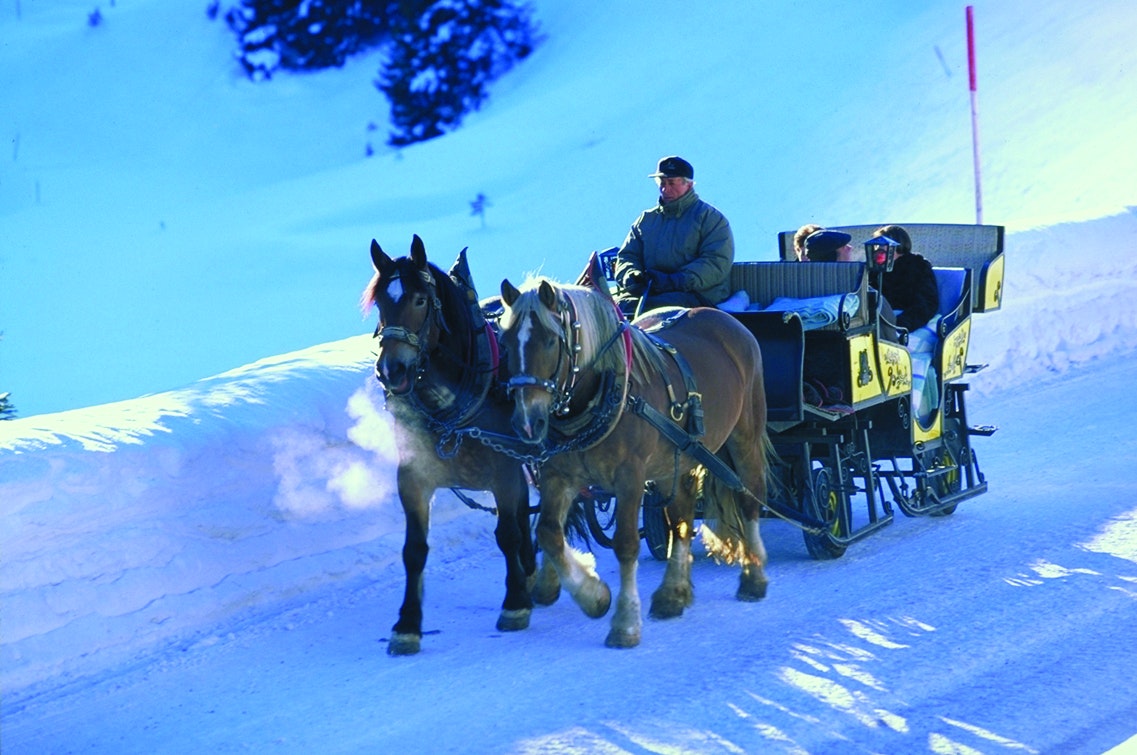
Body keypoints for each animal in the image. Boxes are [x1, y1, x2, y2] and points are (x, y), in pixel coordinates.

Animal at [362, 234, 543, 655]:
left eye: (420, 300)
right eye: (380, 303)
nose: (391, 370)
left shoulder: (504, 468)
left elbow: (506, 534)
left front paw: (514, 603)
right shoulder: (413, 476)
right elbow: (414, 550)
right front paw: (407, 625)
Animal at [498, 276, 772, 648]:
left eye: (551, 340)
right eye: (506, 342)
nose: (527, 423)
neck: (599, 396)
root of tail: (728, 320)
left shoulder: (630, 477)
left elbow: (626, 544)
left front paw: (625, 622)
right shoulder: (558, 475)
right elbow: (548, 532)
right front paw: (593, 596)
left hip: (744, 435)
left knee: (748, 497)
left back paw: (753, 576)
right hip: (679, 459)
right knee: (682, 519)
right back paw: (673, 593)